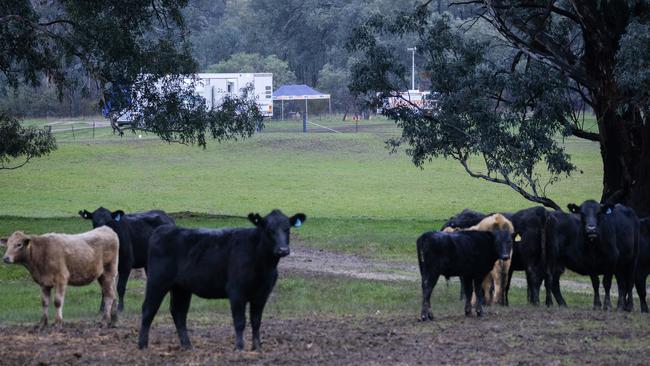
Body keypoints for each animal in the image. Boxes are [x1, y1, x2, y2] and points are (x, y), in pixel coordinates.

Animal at [138, 210, 306, 350]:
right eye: (269, 230)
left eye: (287, 229)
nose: (283, 250)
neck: (264, 266)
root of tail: (163, 230)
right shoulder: (236, 291)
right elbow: (240, 321)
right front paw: (239, 347)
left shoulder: (262, 294)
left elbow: (256, 321)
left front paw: (257, 347)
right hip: (157, 281)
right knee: (148, 309)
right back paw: (143, 345)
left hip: (181, 287)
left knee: (179, 312)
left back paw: (187, 346)